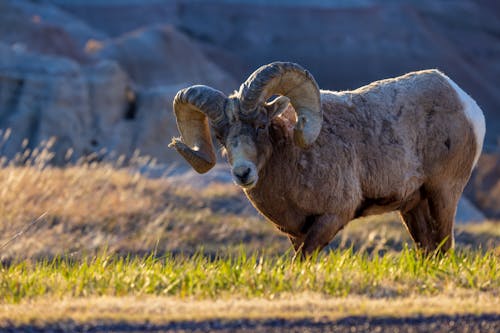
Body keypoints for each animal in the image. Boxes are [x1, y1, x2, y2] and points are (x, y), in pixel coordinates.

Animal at [170, 61, 486, 255]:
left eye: (261, 125)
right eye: (220, 136)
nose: (243, 173)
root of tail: (465, 103)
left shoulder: (331, 219)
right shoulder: (296, 233)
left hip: (443, 193)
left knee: (444, 246)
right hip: (413, 206)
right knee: (428, 250)